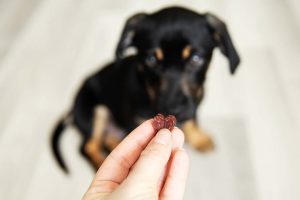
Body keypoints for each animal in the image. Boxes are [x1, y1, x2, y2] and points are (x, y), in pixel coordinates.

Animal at [51, 6, 239, 172]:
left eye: (196, 58)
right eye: (151, 60)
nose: (173, 110)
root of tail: (72, 109)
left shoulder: (194, 103)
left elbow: (193, 119)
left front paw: (199, 138)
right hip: (94, 110)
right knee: (87, 146)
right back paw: (101, 164)